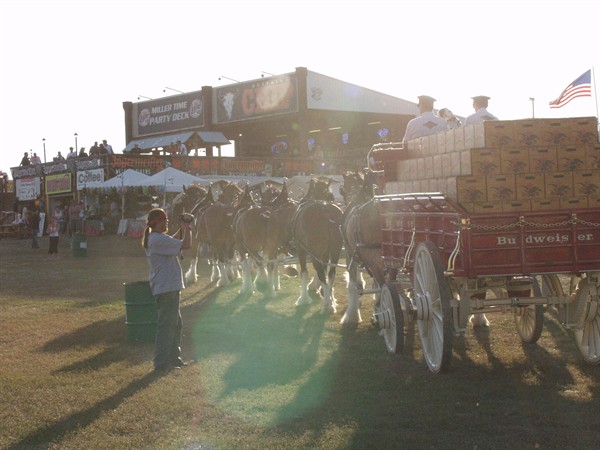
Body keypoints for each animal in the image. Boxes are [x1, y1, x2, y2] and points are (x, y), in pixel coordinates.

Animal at [290, 176, 342, 312]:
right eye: (331, 195)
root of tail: (325, 210)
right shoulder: (325, 254)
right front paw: (328, 295)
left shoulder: (301, 249)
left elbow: (304, 272)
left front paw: (303, 299)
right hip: (335, 251)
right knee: (331, 274)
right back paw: (330, 302)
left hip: (314, 253)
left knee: (322, 274)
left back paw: (326, 306)